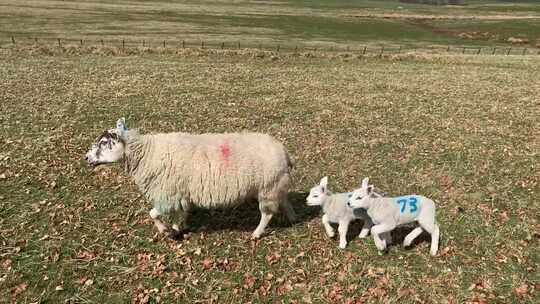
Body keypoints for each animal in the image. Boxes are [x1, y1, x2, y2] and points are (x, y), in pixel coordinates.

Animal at [84, 117, 296, 239]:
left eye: (105, 142)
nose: (86, 158)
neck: (147, 153)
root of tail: (283, 151)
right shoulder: (180, 193)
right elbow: (180, 213)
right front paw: (177, 227)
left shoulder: (167, 195)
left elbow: (153, 214)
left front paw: (165, 231)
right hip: (275, 185)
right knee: (285, 200)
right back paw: (292, 218)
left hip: (268, 188)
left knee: (267, 214)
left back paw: (256, 234)